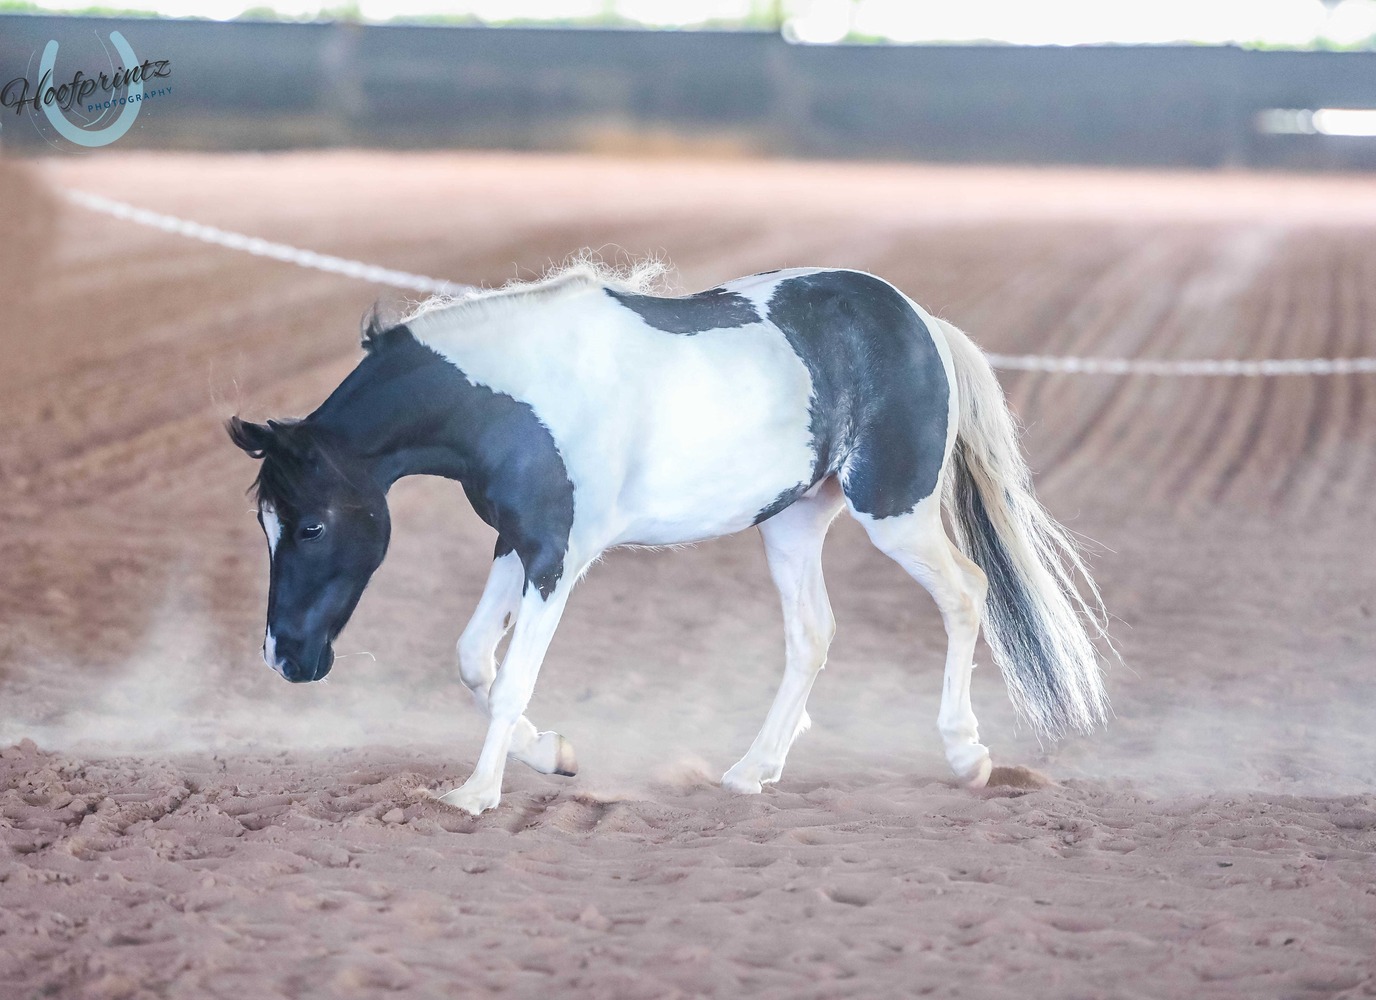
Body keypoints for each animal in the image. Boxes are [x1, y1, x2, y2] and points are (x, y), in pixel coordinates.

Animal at [228, 263, 1110, 815]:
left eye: (310, 524)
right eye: (267, 524)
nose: (284, 659)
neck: (515, 396)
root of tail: (922, 322)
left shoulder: (556, 557)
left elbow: (508, 676)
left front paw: (475, 796)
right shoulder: (519, 541)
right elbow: (475, 658)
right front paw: (554, 754)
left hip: (895, 513)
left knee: (965, 592)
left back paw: (967, 757)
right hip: (794, 522)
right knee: (813, 634)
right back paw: (755, 770)